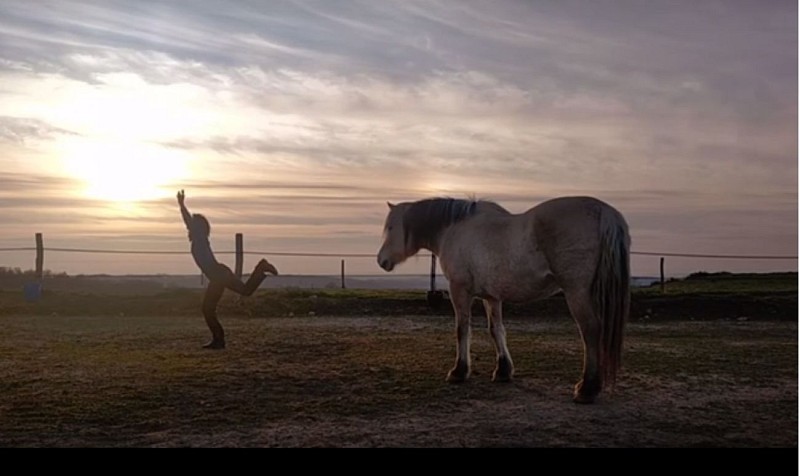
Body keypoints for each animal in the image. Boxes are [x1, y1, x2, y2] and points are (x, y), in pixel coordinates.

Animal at [376, 195, 632, 404]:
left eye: (390, 227)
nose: (381, 260)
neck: (454, 229)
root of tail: (606, 213)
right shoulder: (492, 297)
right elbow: (496, 330)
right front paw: (503, 371)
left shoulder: (460, 291)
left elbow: (462, 329)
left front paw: (459, 371)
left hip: (577, 292)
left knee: (590, 331)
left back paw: (587, 388)